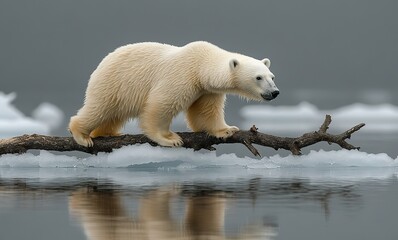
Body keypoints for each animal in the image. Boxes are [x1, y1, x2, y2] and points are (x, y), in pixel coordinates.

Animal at [68, 41, 278, 146]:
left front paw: (226, 130)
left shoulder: (206, 90)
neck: (200, 65)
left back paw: (107, 132)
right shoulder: (181, 75)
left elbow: (206, 112)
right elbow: (162, 104)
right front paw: (169, 138)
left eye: (272, 76)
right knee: (100, 108)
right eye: (258, 77)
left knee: (112, 115)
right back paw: (82, 135)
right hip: (114, 83)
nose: (275, 92)